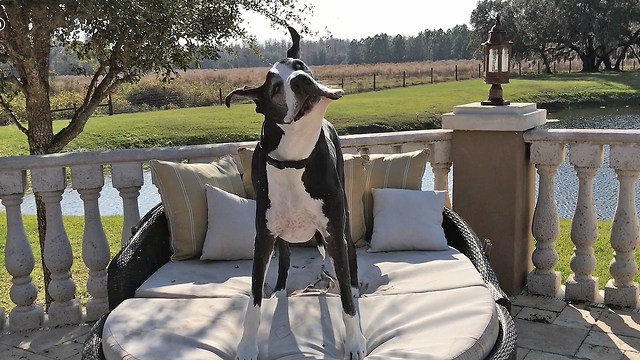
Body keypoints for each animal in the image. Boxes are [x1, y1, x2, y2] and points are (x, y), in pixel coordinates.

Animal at [225, 28, 364, 360]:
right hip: (280, 235)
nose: (300, 80)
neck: (294, 157)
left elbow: (346, 302)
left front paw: (354, 342)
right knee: (286, 257)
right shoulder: (263, 237)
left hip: (344, 220)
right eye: (275, 87)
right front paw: (247, 345)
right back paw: (279, 290)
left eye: (299, 65)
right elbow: (253, 298)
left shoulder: (333, 233)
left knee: (350, 260)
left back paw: (353, 287)